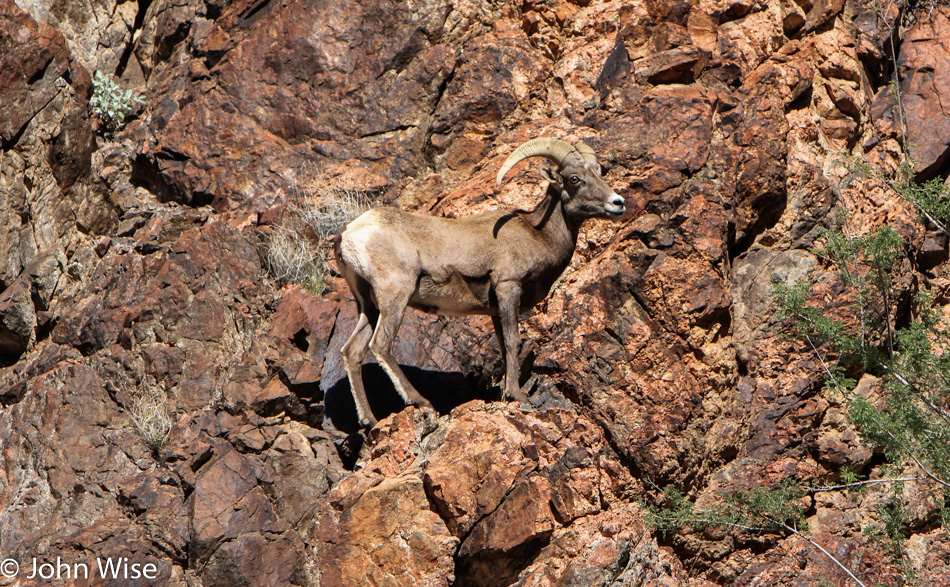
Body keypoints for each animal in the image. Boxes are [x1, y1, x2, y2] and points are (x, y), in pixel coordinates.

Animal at [332, 140, 624, 430]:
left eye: (599, 172)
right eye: (574, 179)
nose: (618, 203)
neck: (539, 235)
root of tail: (349, 235)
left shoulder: (495, 309)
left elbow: (504, 347)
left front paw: (505, 393)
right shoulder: (508, 287)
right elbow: (512, 341)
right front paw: (517, 396)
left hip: (368, 306)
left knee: (352, 351)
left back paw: (369, 420)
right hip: (395, 296)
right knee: (381, 345)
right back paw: (421, 402)